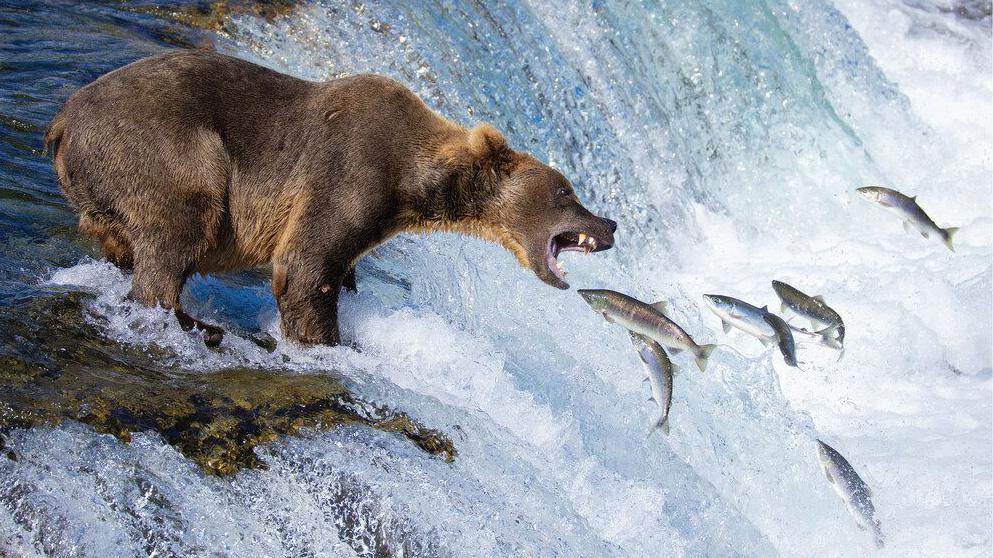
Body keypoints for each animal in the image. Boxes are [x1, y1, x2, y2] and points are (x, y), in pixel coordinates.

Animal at [50, 50, 616, 348]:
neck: (416, 179)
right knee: (182, 224)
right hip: (164, 145)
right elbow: (304, 266)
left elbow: (337, 267)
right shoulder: (352, 170)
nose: (609, 224)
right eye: (566, 190)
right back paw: (195, 321)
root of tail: (63, 118)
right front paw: (327, 341)